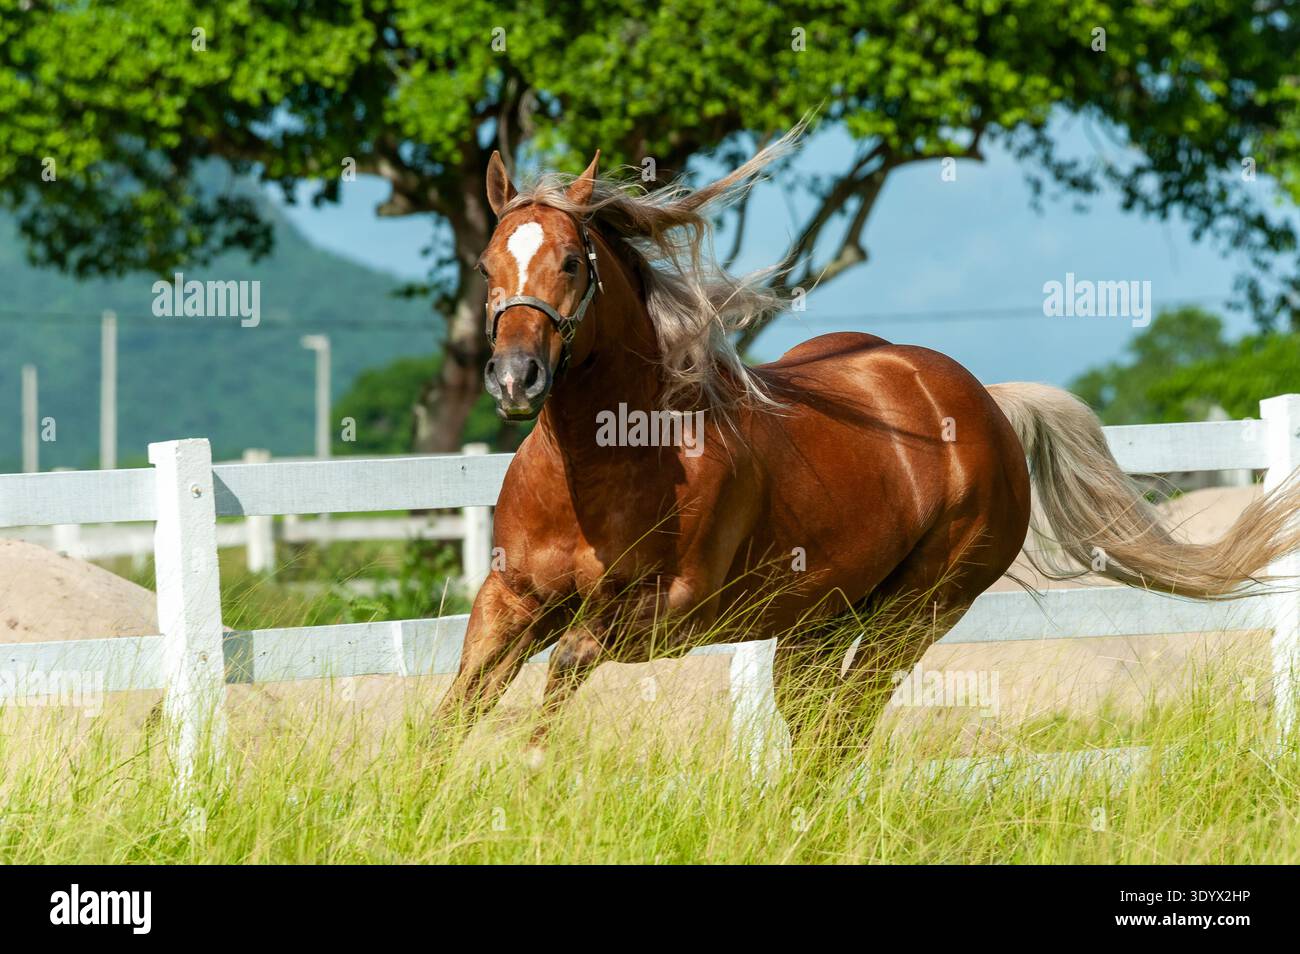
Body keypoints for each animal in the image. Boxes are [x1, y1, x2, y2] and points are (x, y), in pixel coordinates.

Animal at [435, 136, 1300, 751]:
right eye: (487, 263)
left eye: (571, 262)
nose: (515, 379)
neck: (609, 460)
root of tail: (985, 404)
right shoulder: (512, 598)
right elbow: (455, 713)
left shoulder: (674, 613)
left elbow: (564, 670)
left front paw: (529, 765)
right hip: (817, 624)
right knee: (819, 731)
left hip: (913, 614)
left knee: (845, 732)